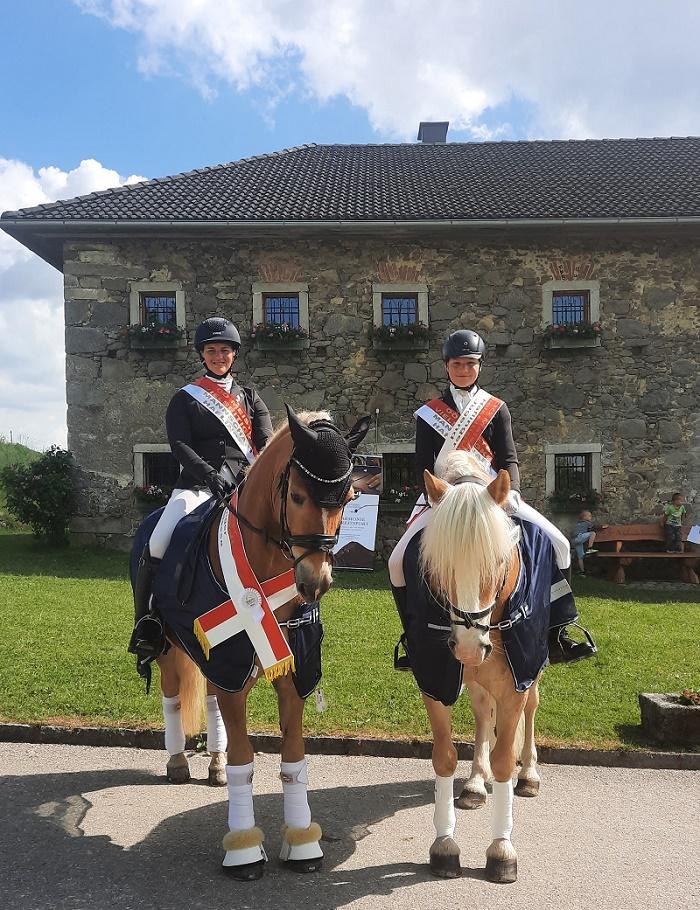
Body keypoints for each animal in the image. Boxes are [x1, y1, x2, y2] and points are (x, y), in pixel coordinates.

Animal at [142, 410, 372, 880]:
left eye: (349, 496)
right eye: (298, 496)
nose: (315, 582)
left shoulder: (288, 672)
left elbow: (294, 759)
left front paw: (303, 842)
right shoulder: (232, 668)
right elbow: (244, 762)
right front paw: (245, 849)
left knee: (209, 702)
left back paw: (211, 764)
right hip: (172, 646)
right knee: (172, 696)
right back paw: (177, 762)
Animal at [416, 456, 548, 884]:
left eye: (498, 561)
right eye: (440, 566)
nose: (470, 647)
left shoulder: (517, 682)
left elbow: (506, 757)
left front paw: (501, 850)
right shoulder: (434, 682)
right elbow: (444, 756)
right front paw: (444, 845)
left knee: (531, 711)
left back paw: (529, 774)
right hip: (475, 680)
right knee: (481, 714)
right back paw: (476, 780)